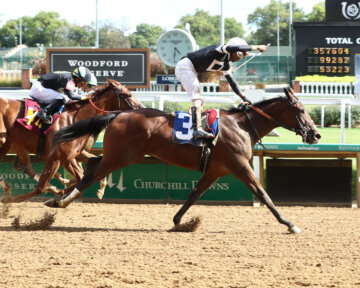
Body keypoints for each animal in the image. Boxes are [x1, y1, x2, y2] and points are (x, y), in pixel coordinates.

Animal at [0, 79, 143, 202]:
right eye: (128, 95)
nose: (141, 109)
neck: (75, 119)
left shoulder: (70, 156)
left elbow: (83, 176)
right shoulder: (56, 158)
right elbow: (41, 188)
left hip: (9, 145)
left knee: (23, 166)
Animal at [46, 88, 320, 234]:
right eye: (301, 110)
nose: (316, 134)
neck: (242, 126)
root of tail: (118, 114)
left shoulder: (215, 171)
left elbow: (194, 194)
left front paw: (180, 221)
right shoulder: (240, 166)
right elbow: (263, 194)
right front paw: (289, 223)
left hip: (123, 155)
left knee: (92, 166)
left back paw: (59, 197)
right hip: (121, 157)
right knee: (92, 174)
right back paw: (60, 202)